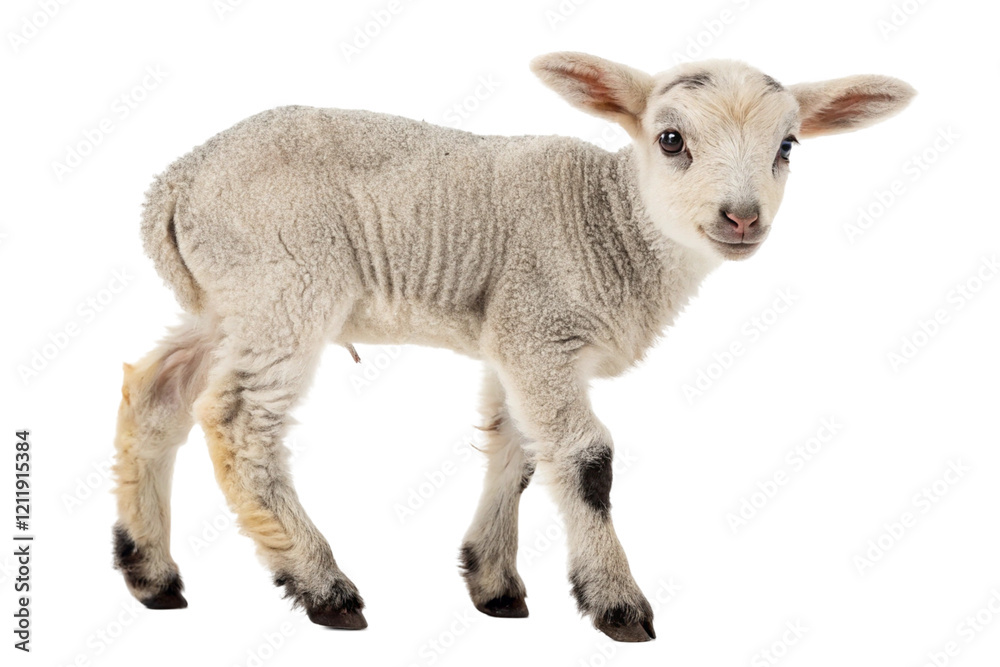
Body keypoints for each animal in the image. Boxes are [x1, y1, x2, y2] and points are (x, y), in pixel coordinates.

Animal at [111, 51, 914, 642]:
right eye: (671, 139)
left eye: (787, 147)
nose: (742, 218)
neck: (613, 219)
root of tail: (175, 183)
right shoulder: (539, 328)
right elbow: (587, 460)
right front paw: (617, 602)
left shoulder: (514, 337)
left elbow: (519, 450)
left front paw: (492, 582)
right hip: (285, 283)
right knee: (239, 422)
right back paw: (322, 584)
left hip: (227, 300)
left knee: (154, 393)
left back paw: (150, 571)